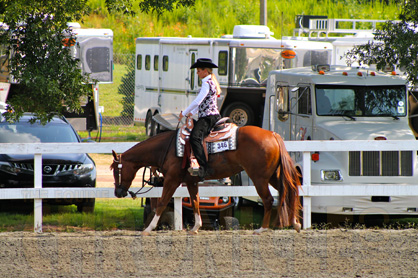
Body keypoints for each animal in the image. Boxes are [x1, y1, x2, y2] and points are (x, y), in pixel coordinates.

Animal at [110, 125, 300, 236]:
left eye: (115, 170)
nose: (118, 192)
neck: (167, 148)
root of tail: (273, 135)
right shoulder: (191, 181)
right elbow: (195, 201)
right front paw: (196, 227)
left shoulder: (172, 179)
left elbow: (162, 202)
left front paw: (149, 228)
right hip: (273, 176)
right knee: (289, 191)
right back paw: (295, 223)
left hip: (259, 177)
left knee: (268, 199)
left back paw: (262, 228)